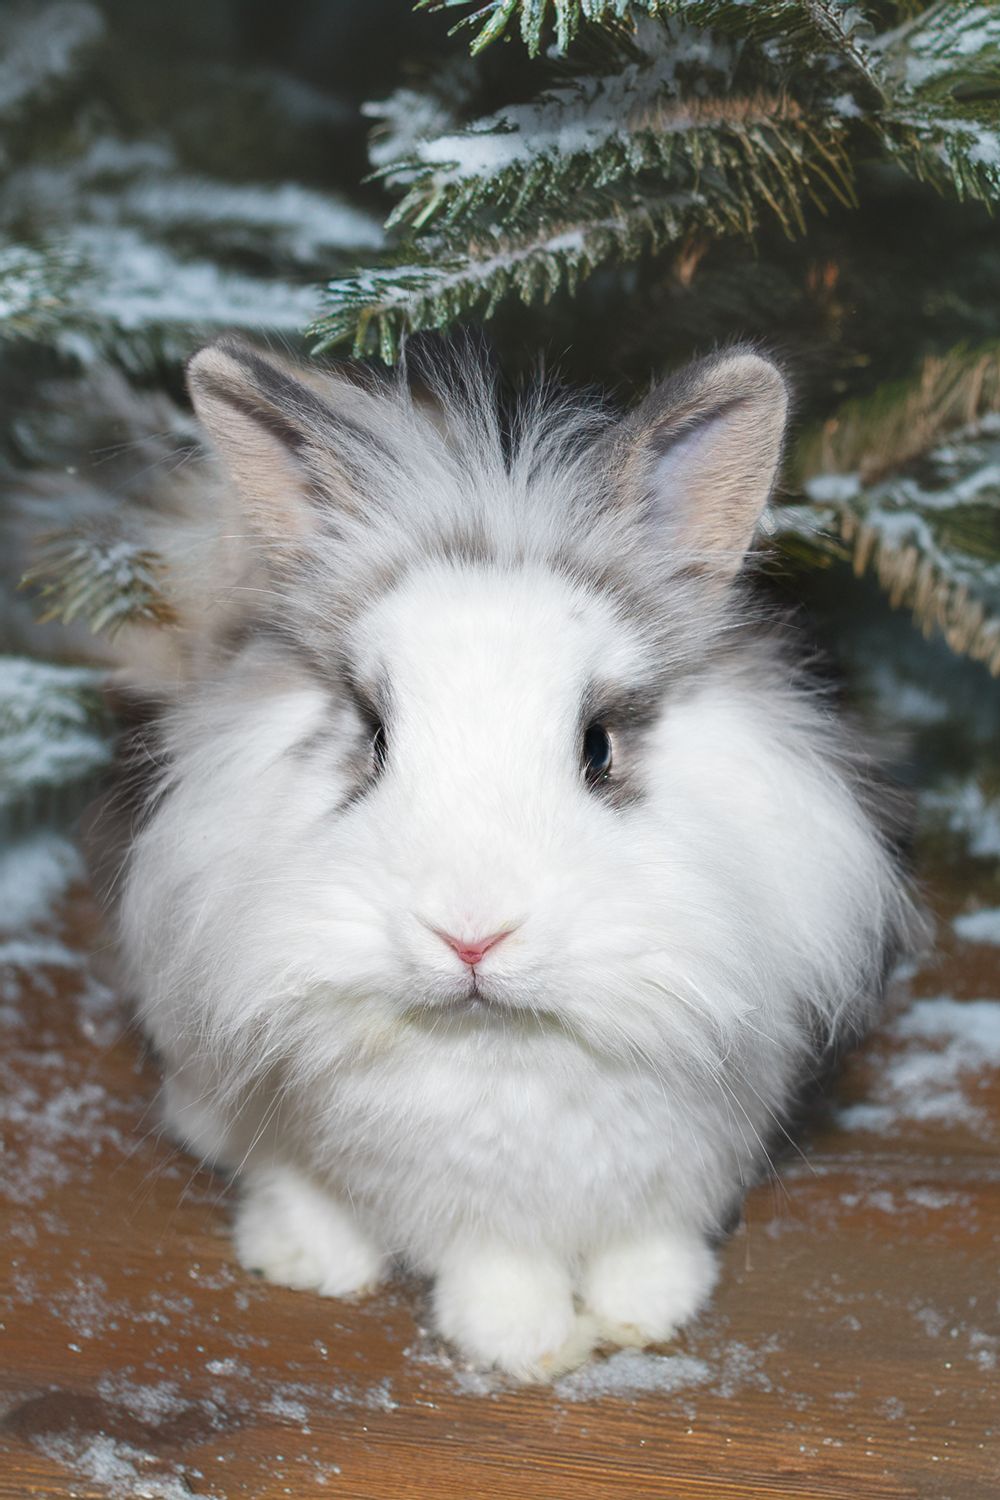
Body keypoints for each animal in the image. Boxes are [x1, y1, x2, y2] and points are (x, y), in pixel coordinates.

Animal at [99, 335, 916, 1381]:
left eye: (598, 746)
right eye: (372, 739)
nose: (472, 937)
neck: (511, 1044)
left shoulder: (686, 1157)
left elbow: (647, 1240)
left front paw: (649, 1309)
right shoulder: (453, 1199)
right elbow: (496, 1260)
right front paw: (528, 1341)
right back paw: (311, 1259)